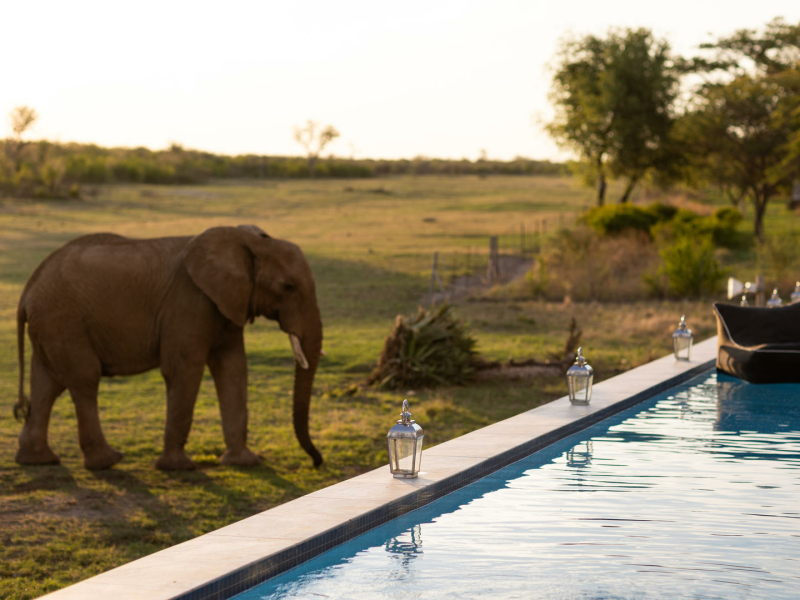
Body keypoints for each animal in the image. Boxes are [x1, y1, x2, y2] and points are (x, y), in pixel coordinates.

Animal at [12, 224, 322, 468]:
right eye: (288, 287)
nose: (317, 462)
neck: (247, 240)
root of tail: (27, 290)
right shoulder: (188, 303)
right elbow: (184, 369)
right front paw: (178, 467)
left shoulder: (227, 304)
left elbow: (233, 369)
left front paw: (245, 463)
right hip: (63, 320)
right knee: (84, 379)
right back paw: (107, 461)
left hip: (51, 324)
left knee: (46, 385)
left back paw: (38, 460)